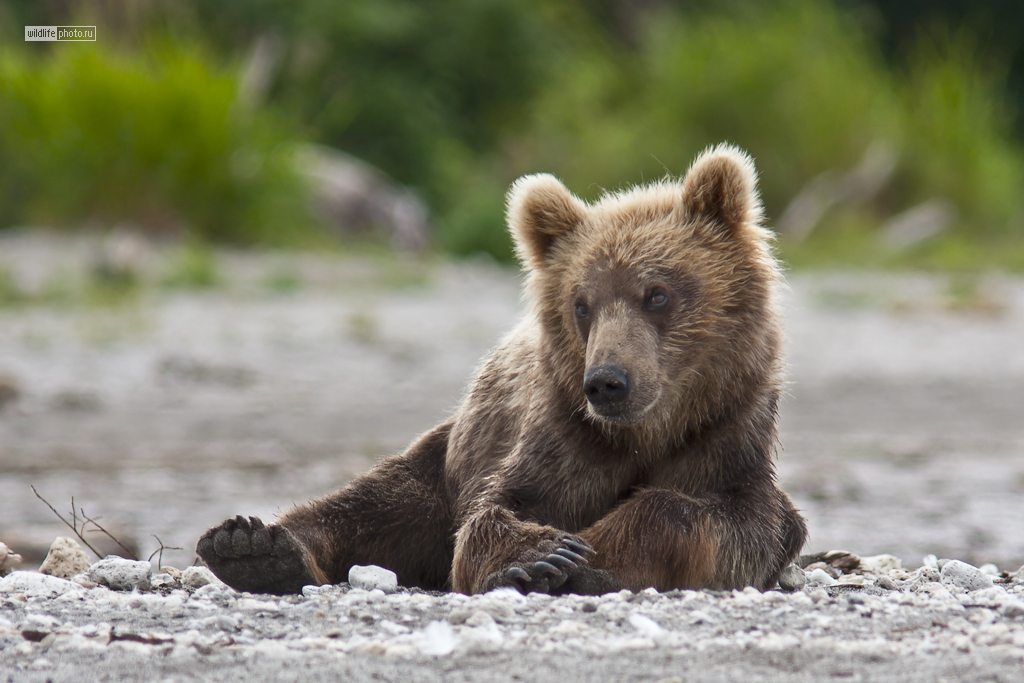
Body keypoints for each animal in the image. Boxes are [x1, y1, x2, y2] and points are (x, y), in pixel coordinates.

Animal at [197, 145, 806, 598]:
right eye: (581, 304)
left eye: (656, 294)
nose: (608, 382)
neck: (648, 432)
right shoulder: (561, 437)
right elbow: (497, 510)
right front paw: (542, 555)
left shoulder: (727, 433)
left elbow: (734, 520)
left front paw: (593, 559)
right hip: (447, 456)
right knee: (375, 503)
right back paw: (254, 547)